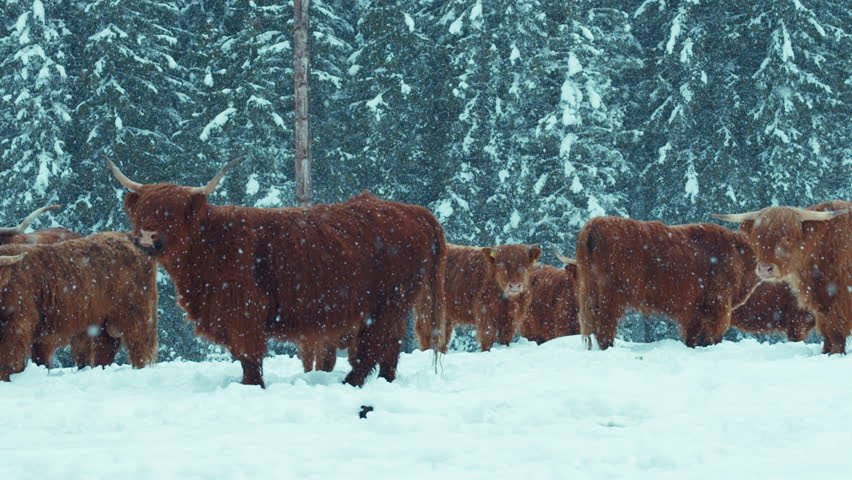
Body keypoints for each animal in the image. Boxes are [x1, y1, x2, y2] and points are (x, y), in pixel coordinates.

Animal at [0, 232, 159, 381]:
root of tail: (129, 236)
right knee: (106, 350)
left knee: (140, 347)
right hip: (103, 324)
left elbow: (9, 358)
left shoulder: (18, 323)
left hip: (137, 314)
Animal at [107, 158, 447, 388]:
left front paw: (252, 386)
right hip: (394, 306)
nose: (147, 236)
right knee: (390, 347)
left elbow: (250, 355)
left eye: (173, 213)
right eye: (143, 210)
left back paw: (350, 383)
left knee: (373, 347)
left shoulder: (243, 310)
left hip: (387, 303)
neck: (211, 243)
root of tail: (413, 210)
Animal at [576, 216, 760, 350]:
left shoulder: (695, 311)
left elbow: (693, 338)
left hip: (589, 291)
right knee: (605, 327)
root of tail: (595, 223)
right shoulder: (718, 304)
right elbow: (712, 336)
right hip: (611, 296)